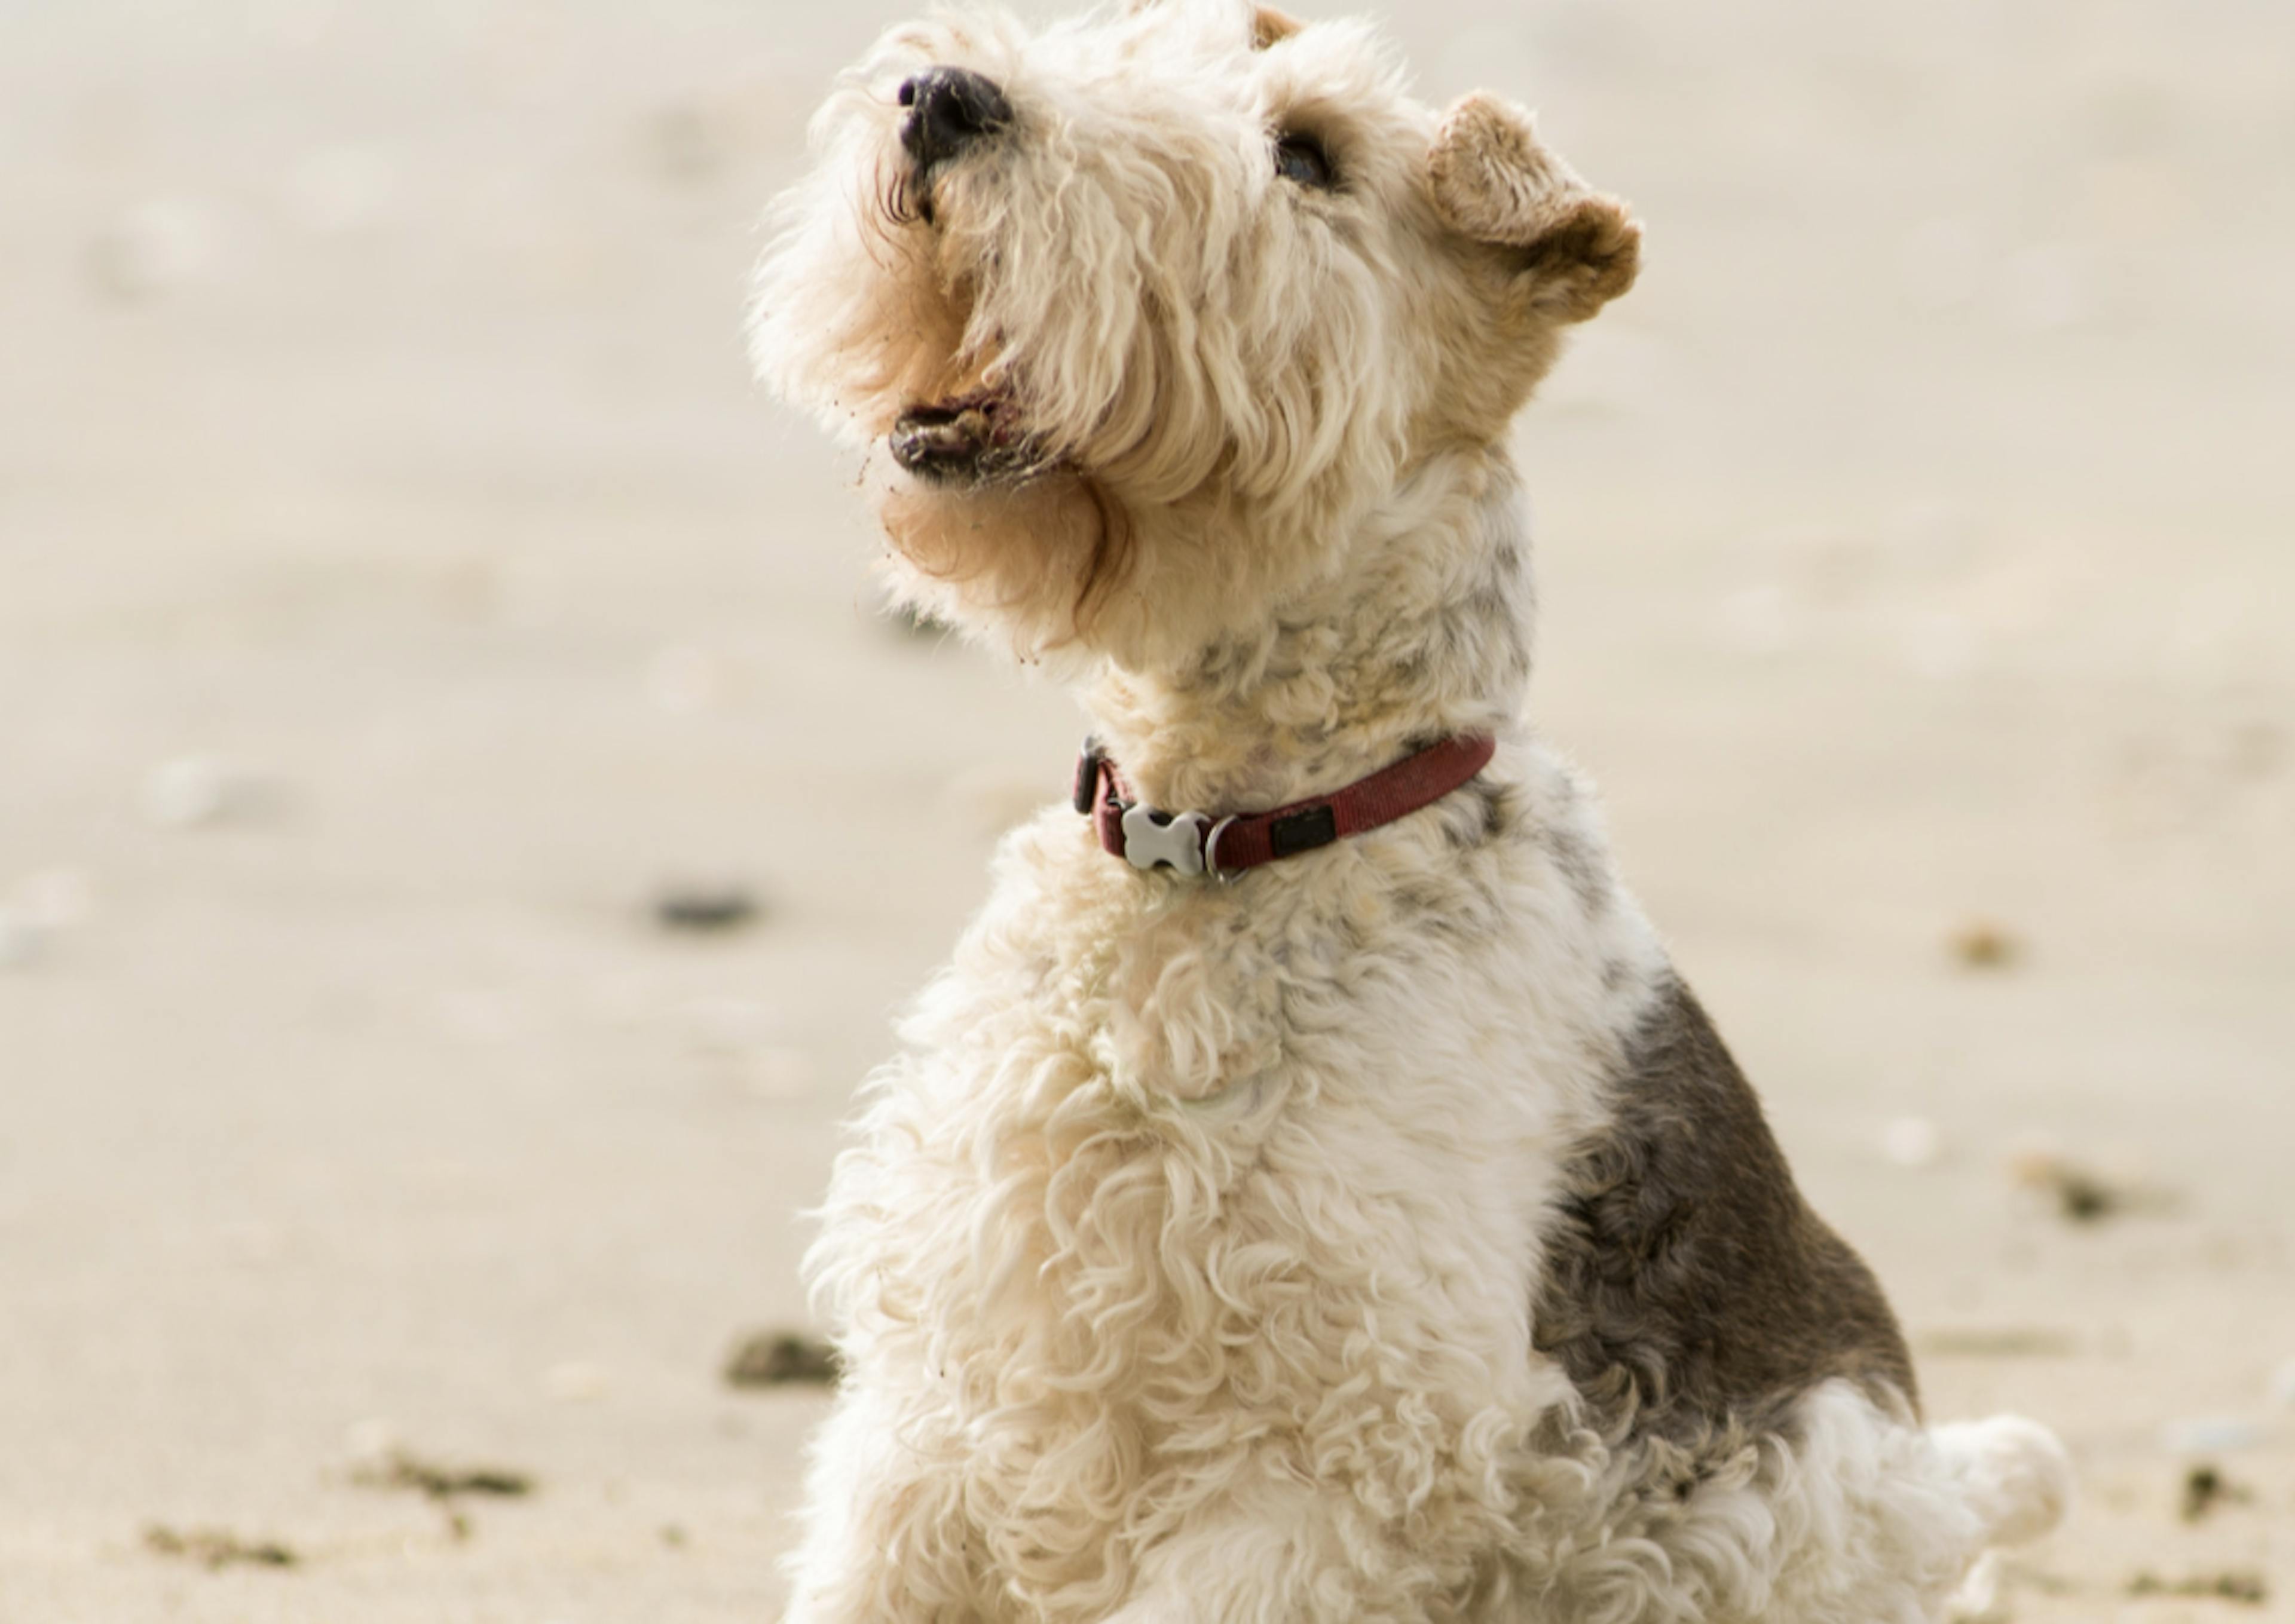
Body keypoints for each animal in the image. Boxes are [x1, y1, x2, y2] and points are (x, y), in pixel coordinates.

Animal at [748, 6, 2066, 1614]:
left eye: (1308, 154)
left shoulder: (1317, 1462)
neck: (1220, 844)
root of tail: (1945, 1489)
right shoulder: (939, 1407)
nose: (940, 96)